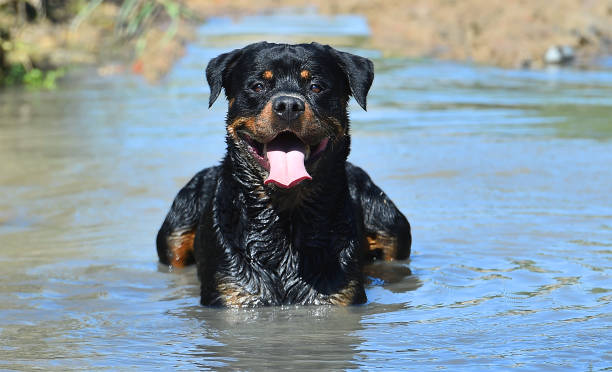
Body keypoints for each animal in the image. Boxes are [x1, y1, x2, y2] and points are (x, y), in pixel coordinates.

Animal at [157, 42, 412, 306]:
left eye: (316, 86)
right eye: (258, 86)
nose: (288, 105)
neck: (287, 214)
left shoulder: (339, 296)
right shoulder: (231, 294)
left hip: (387, 220)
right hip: (179, 217)